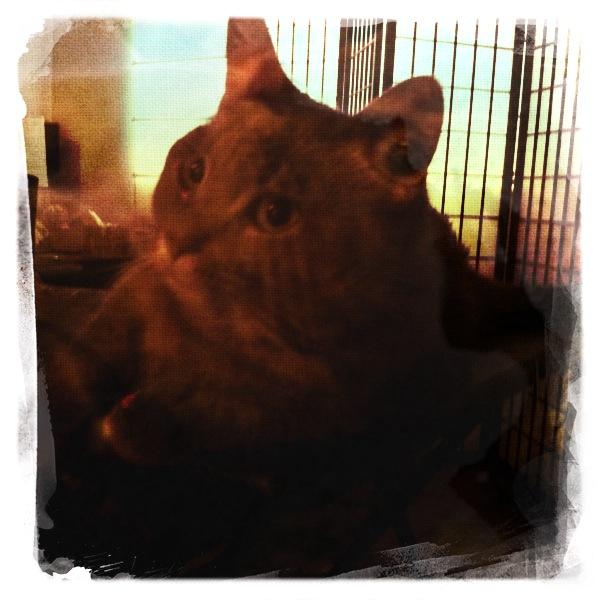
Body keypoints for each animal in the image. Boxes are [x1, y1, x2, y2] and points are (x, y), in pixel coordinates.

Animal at [37, 19, 570, 577]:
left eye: (276, 214)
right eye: (194, 172)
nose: (179, 246)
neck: (204, 334)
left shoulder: (348, 417)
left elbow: (238, 432)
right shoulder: (118, 318)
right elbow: (77, 378)